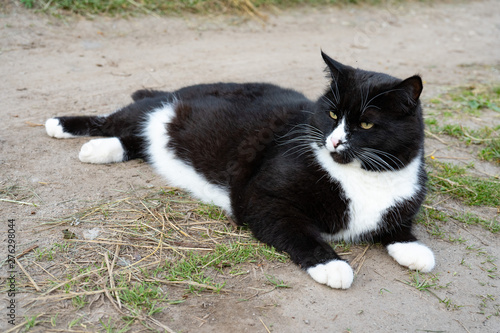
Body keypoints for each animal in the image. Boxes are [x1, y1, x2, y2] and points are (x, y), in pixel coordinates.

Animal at [46, 52, 434, 288]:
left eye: (366, 124)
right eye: (332, 114)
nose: (335, 141)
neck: (363, 177)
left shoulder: (400, 201)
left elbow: (397, 226)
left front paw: (415, 248)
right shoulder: (261, 197)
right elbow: (298, 232)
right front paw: (332, 265)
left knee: (135, 140)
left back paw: (102, 149)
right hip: (157, 106)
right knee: (115, 119)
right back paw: (63, 126)